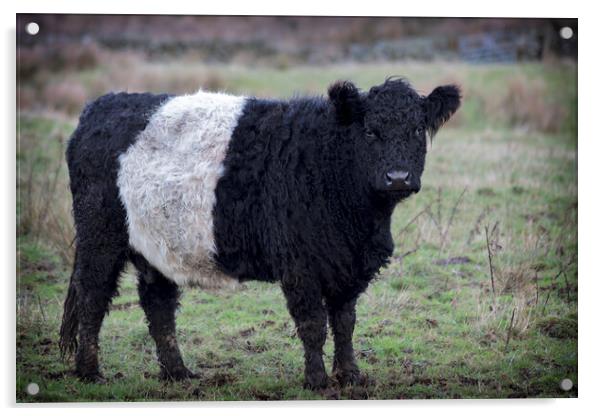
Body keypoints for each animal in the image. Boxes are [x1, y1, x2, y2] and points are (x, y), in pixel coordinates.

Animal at [58, 79, 458, 390]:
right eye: (371, 131)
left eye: (416, 130)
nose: (398, 177)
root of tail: (100, 106)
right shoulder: (300, 266)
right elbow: (313, 324)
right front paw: (316, 381)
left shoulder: (348, 266)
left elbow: (345, 323)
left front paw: (350, 376)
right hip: (100, 235)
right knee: (93, 294)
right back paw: (90, 372)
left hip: (157, 246)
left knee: (158, 304)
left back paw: (178, 373)